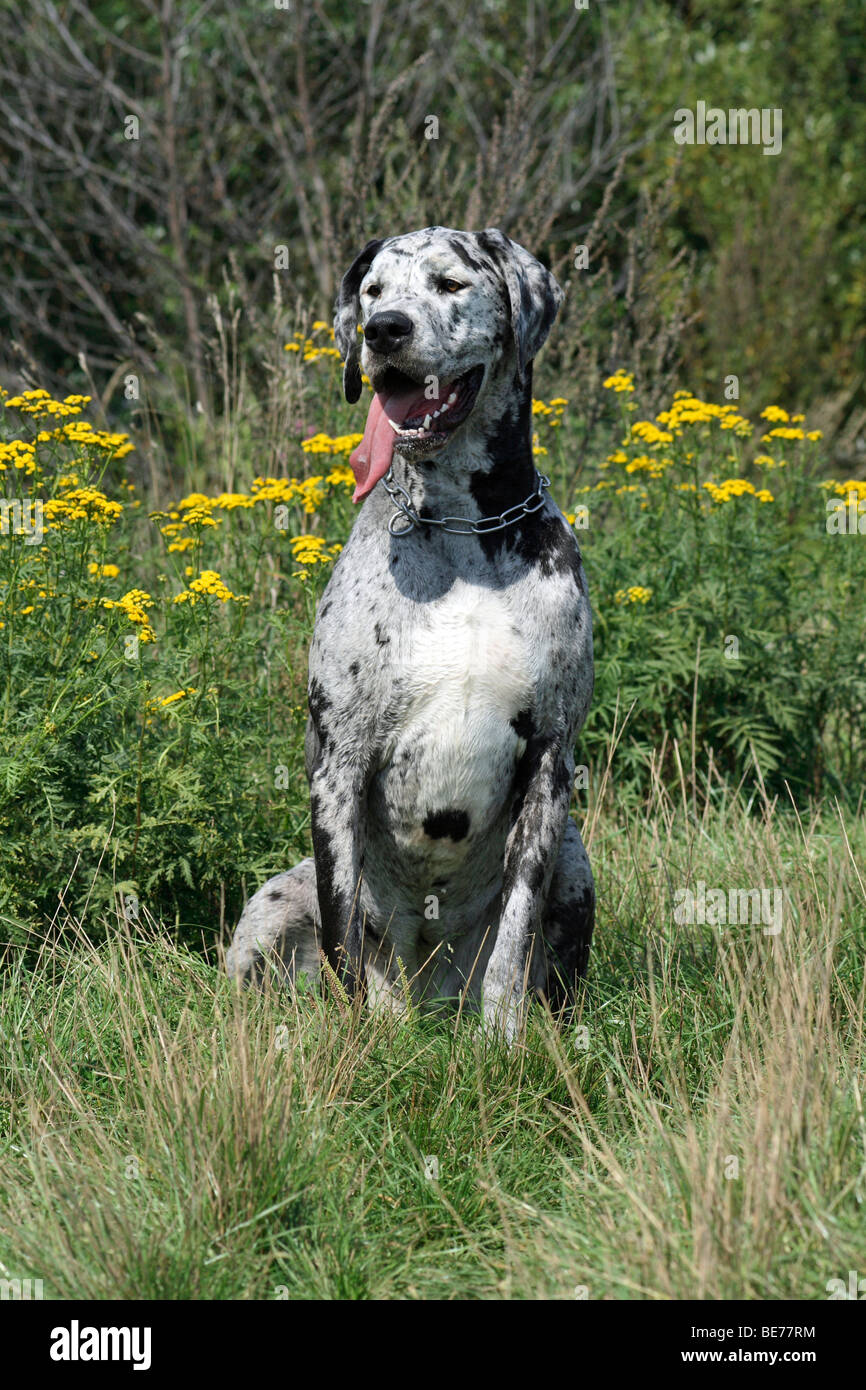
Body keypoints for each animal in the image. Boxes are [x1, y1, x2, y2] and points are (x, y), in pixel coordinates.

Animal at [226, 222, 594, 1039]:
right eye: (372, 291)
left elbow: (516, 935)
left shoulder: (549, 762)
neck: (464, 532)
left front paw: (505, 1042)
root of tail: (431, 995)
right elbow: (343, 935)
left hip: (577, 863)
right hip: (271, 905)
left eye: (449, 283)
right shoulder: (338, 767)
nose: (384, 330)